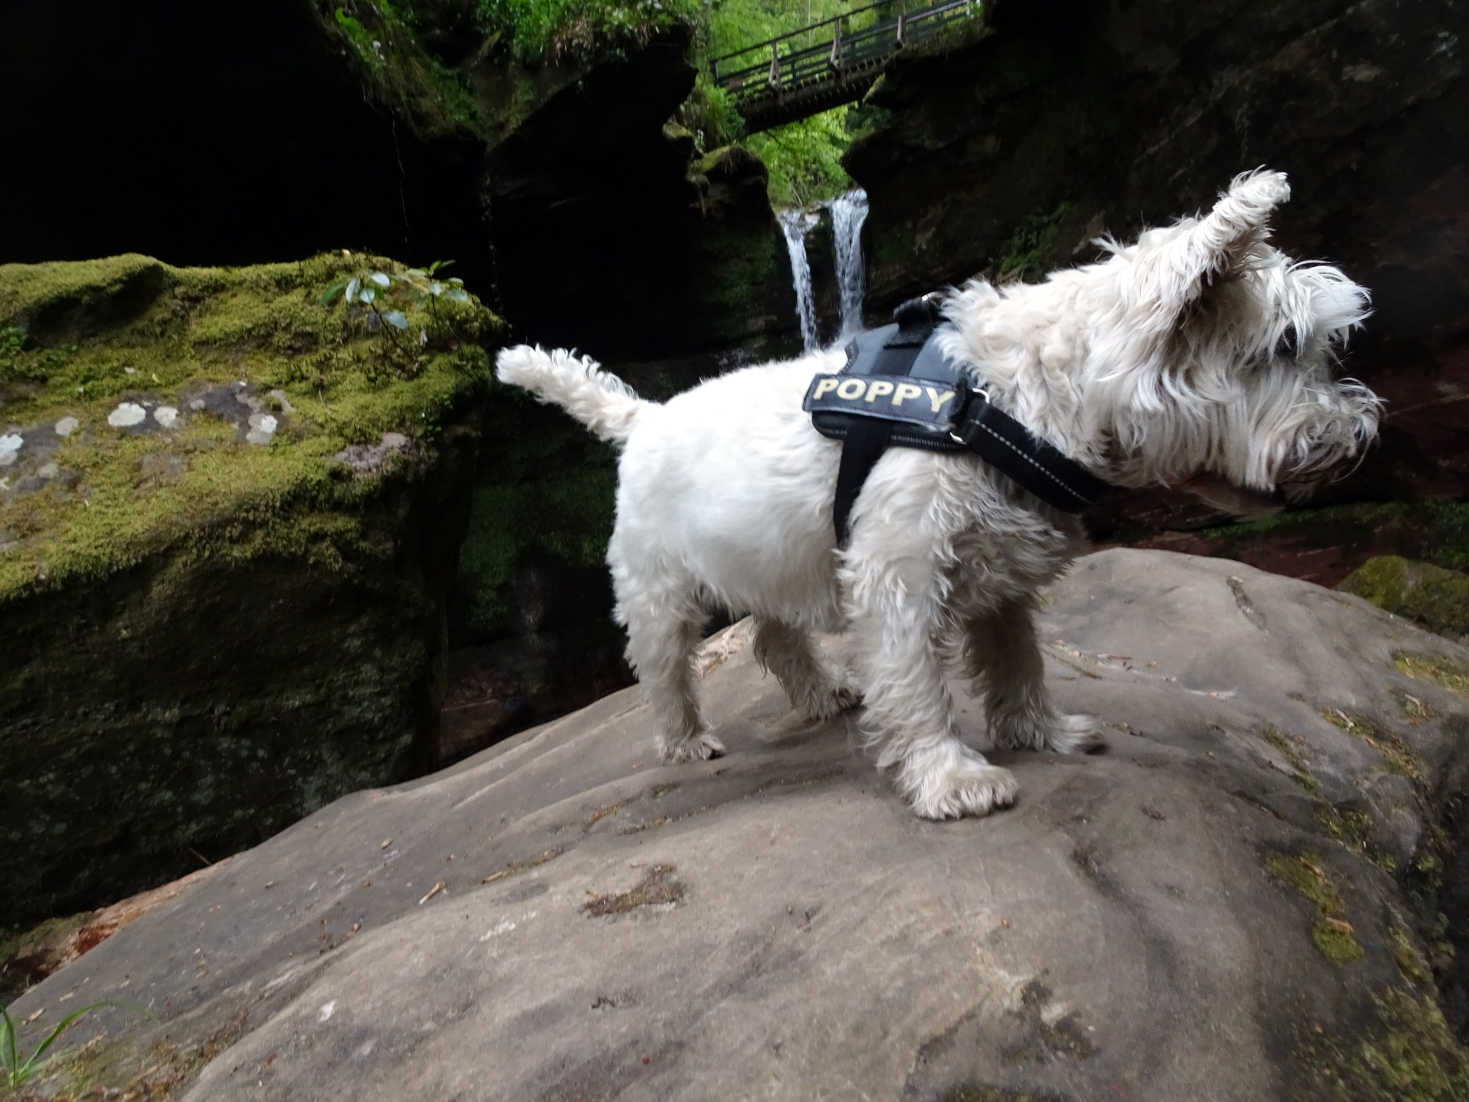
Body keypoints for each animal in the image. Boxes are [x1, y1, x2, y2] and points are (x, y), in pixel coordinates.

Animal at [493, 166, 1374, 822]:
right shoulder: (899, 570)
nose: (1356, 437)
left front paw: (1040, 731)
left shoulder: (1002, 571)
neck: (1010, 400)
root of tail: (643, 417)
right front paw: (953, 777)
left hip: (773, 556)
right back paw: (683, 740)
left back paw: (823, 693)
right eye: (1283, 345)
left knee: (774, 637)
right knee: (663, 662)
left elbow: (1017, 659)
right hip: (660, 583)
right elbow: (917, 679)